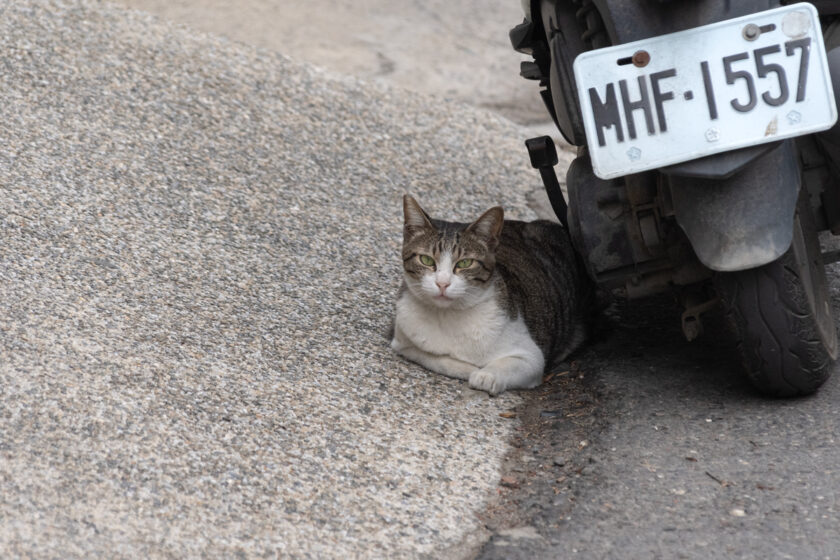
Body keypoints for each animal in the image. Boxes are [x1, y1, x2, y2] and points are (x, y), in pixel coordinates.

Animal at [392, 195, 592, 396]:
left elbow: (509, 364)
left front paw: (486, 376)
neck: (447, 315)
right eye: (426, 260)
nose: (442, 283)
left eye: (465, 263)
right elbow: (437, 359)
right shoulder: (403, 342)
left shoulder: (532, 357)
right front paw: (469, 368)